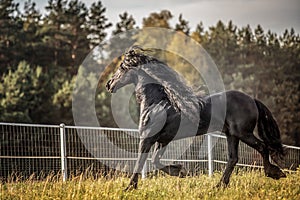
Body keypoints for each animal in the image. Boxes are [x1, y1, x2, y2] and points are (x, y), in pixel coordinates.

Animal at [106, 45, 286, 191]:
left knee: (262, 147)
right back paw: (219, 186)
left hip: (243, 133)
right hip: (232, 134)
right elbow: (155, 160)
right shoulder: (162, 140)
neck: (156, 103)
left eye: (121, 68)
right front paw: (180, 171)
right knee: (233, 158)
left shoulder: (147, 139)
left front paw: (129, 188)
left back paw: (275, 173)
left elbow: (140, 162)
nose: (109, 85)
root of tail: (252, 100)